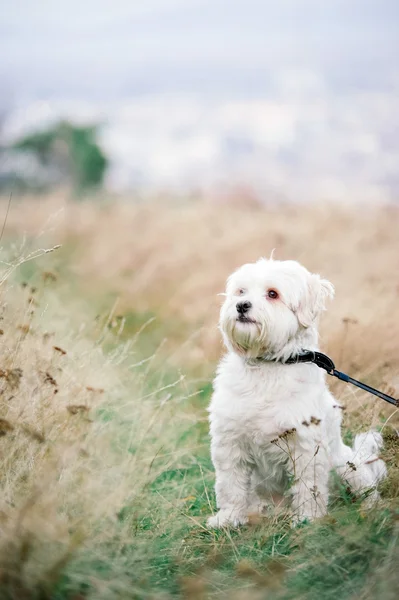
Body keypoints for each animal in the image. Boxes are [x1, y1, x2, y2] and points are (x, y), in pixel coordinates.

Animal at [209, 258, 388, 524]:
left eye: (272, 294)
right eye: (241, 291)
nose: (241, 305)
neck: (268, 366)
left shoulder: (305, 445)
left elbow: (308, 487)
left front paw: (307, 519)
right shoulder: (230, 442)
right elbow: (231, 485)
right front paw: (228, 519)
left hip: (348, 468)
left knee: (368, 492)